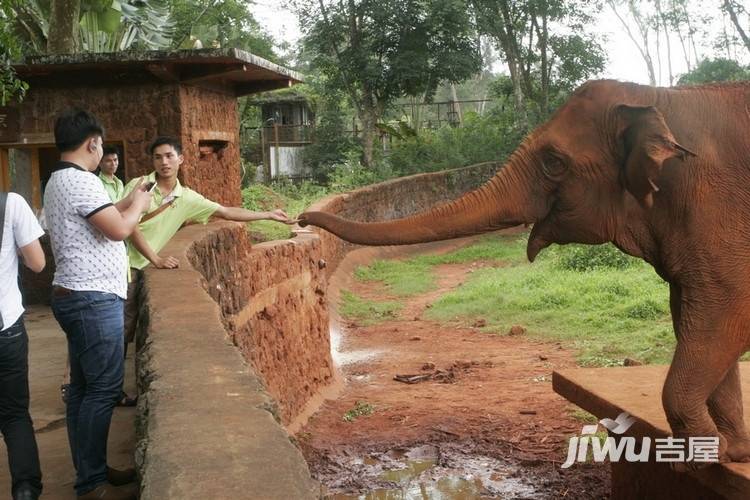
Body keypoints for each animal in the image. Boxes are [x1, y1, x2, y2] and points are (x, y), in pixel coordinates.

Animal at [298, 79, 750, 468]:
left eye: (553, 162)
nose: (301, 219)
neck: (657, 95)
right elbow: (698, 316)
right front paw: (730, 453)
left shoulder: (717, 210)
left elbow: (726, 310)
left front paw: (703, 456)